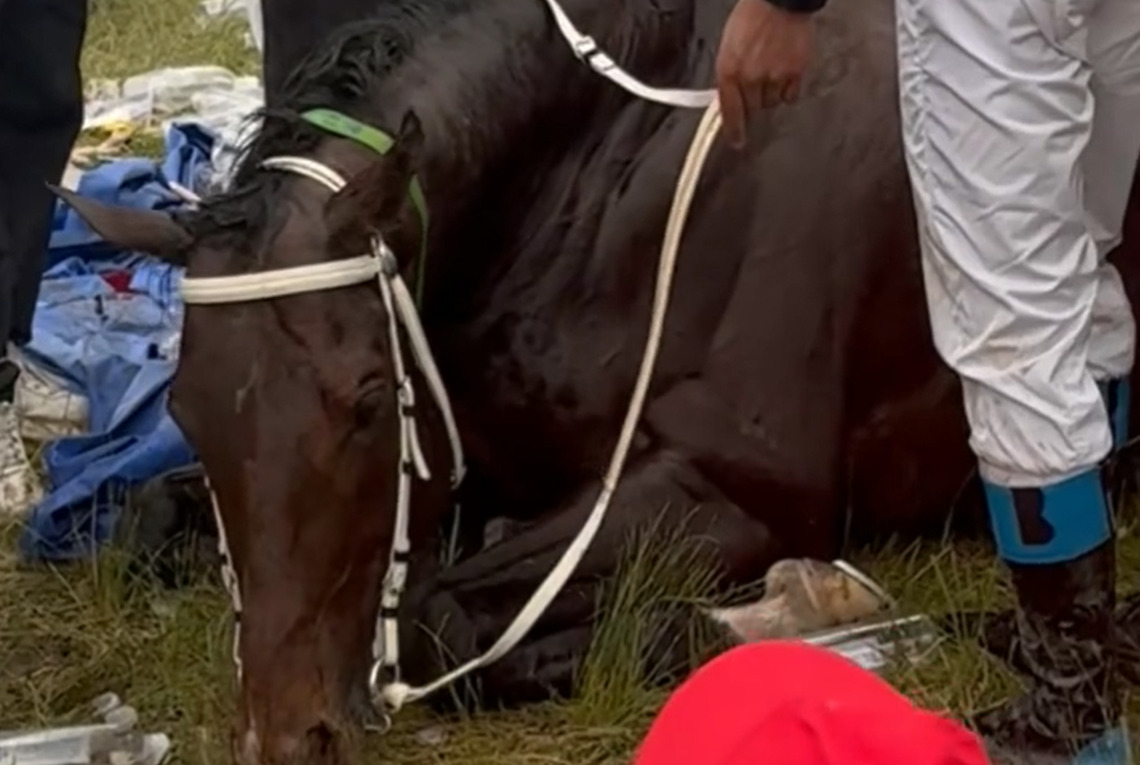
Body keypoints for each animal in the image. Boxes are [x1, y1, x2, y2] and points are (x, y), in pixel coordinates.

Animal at [52, 0, 1140, 762]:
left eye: (365, 401)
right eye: (189, 409)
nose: (285, 736)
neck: (602, 170)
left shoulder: (734, 490)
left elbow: (440, 618)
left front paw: (750, 616)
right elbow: (148, 517)